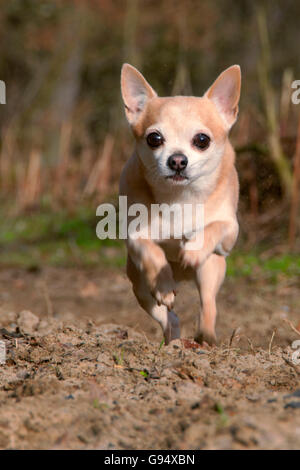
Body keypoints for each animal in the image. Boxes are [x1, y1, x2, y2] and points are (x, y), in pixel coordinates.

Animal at [118, 63, 240, 346]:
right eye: (154, 138)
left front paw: (192, 247)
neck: (180, 197)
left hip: (211, 269)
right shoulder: (134, 236)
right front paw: (163, 283)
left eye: (202, 140)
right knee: (168, 316)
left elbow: (214, 226)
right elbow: (151, 251)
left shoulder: (230, 233)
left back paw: (206, 336)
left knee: (208, 305)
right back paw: (173, 337)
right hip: (141, 288)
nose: (177, 160)